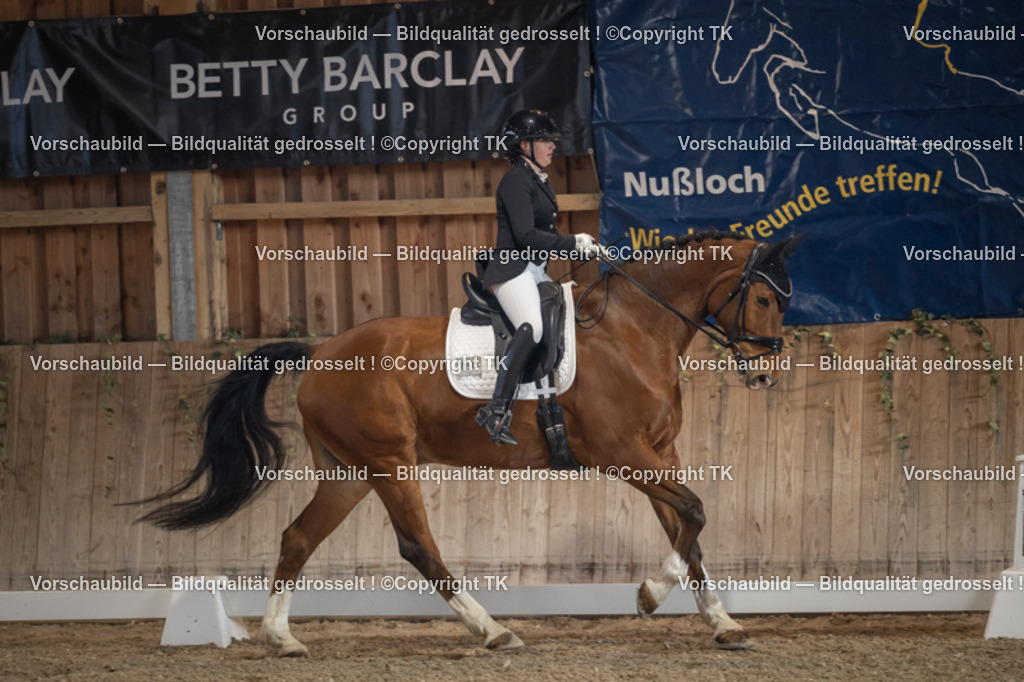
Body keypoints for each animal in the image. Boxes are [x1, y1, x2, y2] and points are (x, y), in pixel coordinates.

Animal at [133, 231, 802, 656]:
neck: (633, 330)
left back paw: (282, 638)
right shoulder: (622, 455)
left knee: (298, 536)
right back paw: (493, 631)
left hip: (349, 472)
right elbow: (695, 510)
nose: (767, 373)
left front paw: (723, 623)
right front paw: (647, 595)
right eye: (766, 297)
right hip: (390, 463)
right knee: (417, 547)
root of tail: (321, 353)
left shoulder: (660, 454)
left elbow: (688, 530)